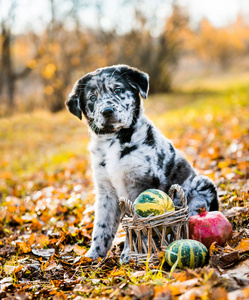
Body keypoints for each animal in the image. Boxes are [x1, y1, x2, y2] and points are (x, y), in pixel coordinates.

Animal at [65, 64, 219, 262]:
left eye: (118, 90)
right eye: (92, 98)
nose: (107, 111)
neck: (113, 141)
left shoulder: (142, 184)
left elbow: (140, 225)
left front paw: (129, 254)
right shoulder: (105, 191)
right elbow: (102, 227)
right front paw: (93, 256)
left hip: (202, 184)